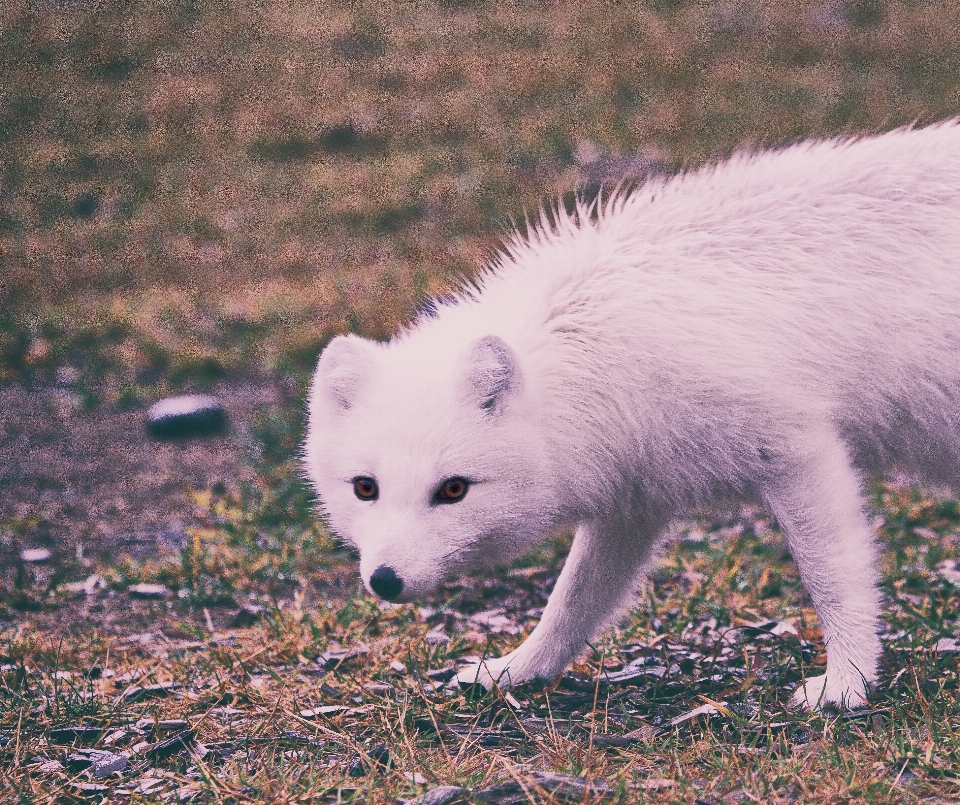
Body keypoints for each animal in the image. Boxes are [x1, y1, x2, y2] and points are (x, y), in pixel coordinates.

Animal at [304, 121, 960, 708]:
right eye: (365, 488)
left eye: (453, 490)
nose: (385, 580)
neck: (594, 357)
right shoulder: (633, 496)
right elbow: (571, 604)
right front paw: (514, 671)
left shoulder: (799, 451)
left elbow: (833, 579)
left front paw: (847, 683)